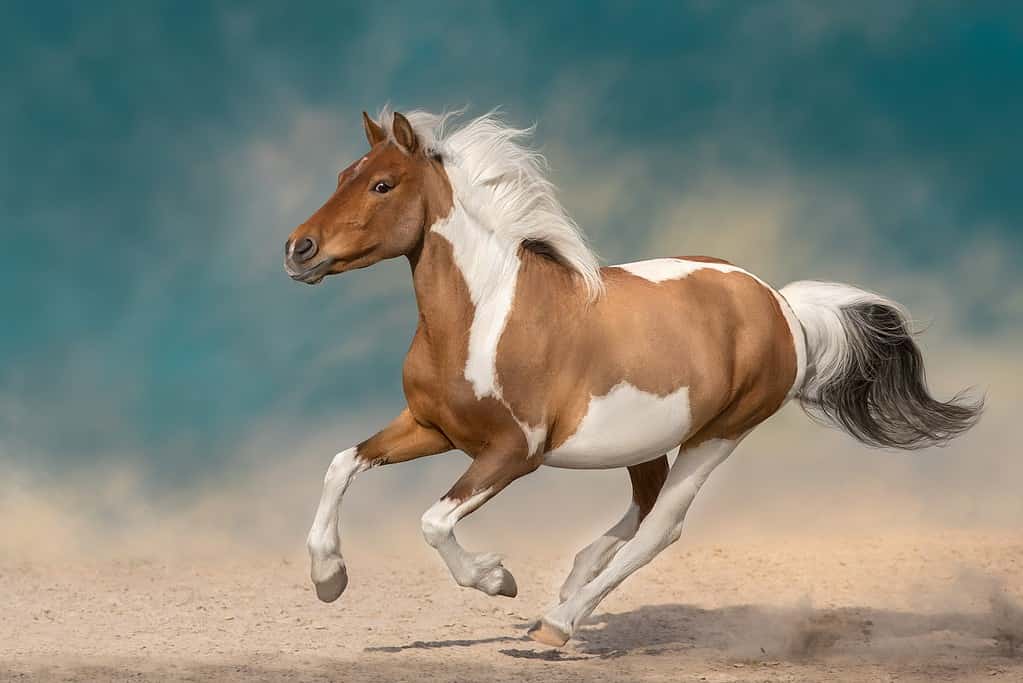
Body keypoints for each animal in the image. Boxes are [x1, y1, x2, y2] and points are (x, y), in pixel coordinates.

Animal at [283, 108, 982, 647]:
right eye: (343, 175)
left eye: (382, 184)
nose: (299, 250)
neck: (485, 316)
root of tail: (781, 305)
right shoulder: (431, 427)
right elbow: (342, 463)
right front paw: (329, 580)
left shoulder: (514, 451)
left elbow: (433, 521)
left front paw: (497, 580)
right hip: (646, 442)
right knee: (642, 511)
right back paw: (568, 588)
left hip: (718, 436)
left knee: (660, 529)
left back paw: (558, 624)